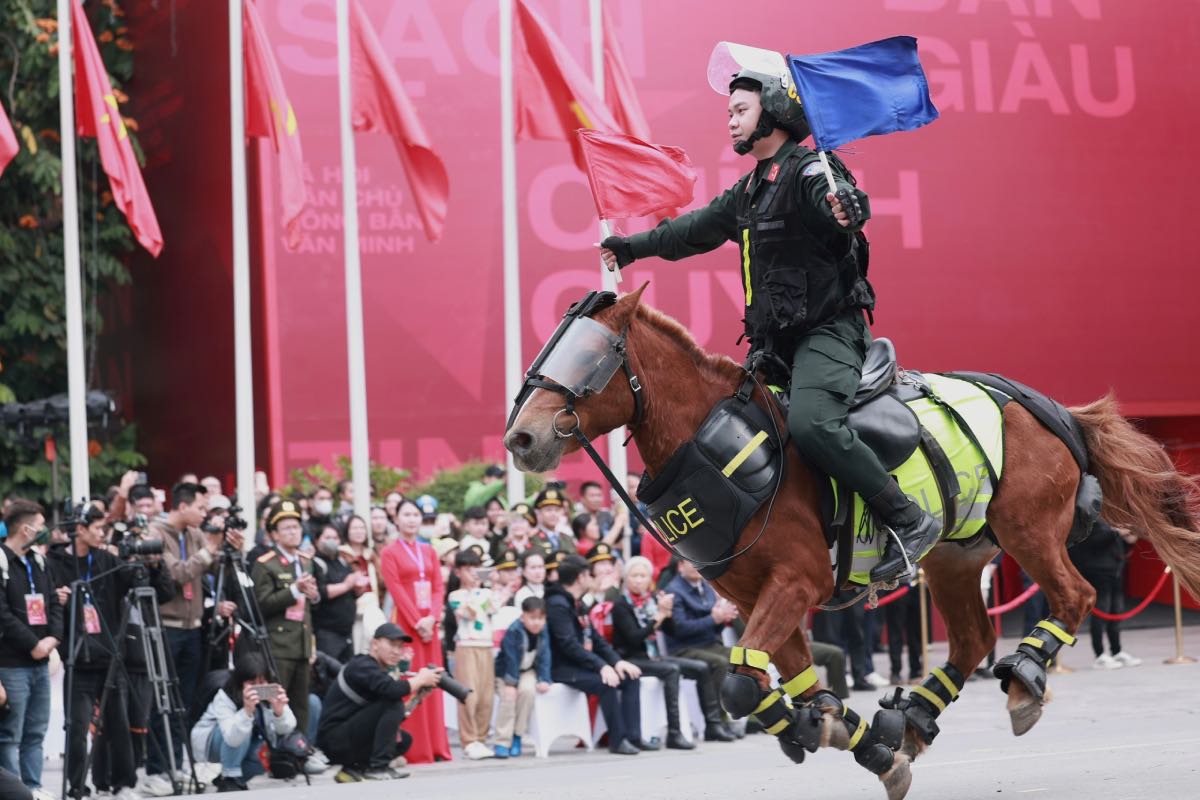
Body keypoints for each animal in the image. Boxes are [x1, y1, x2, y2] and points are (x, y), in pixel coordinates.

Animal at [501, 284, 1200, 796]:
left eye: (592, 357)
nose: (521, 438)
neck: (714, 445)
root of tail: (1041, 405)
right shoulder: (758, 599)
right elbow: (786, 684)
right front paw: (854, 738)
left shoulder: (797, 581)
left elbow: (741, 685)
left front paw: (836, 730)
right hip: (957, 557)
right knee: (973, 637)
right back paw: (913, 717)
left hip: (1027, 530)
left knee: (1075, 595)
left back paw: (1025, 680)